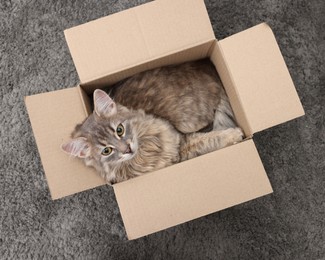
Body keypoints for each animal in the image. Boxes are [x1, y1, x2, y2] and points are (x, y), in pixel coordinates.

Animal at [61, 89, 243, 185]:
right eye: (106, 151)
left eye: (119, 130)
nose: (127, 149)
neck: (146, 153)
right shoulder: (183, 149)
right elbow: (209, 140)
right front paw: (235, 133)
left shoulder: (178, 141)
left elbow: (208, 138)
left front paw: (234, 133)